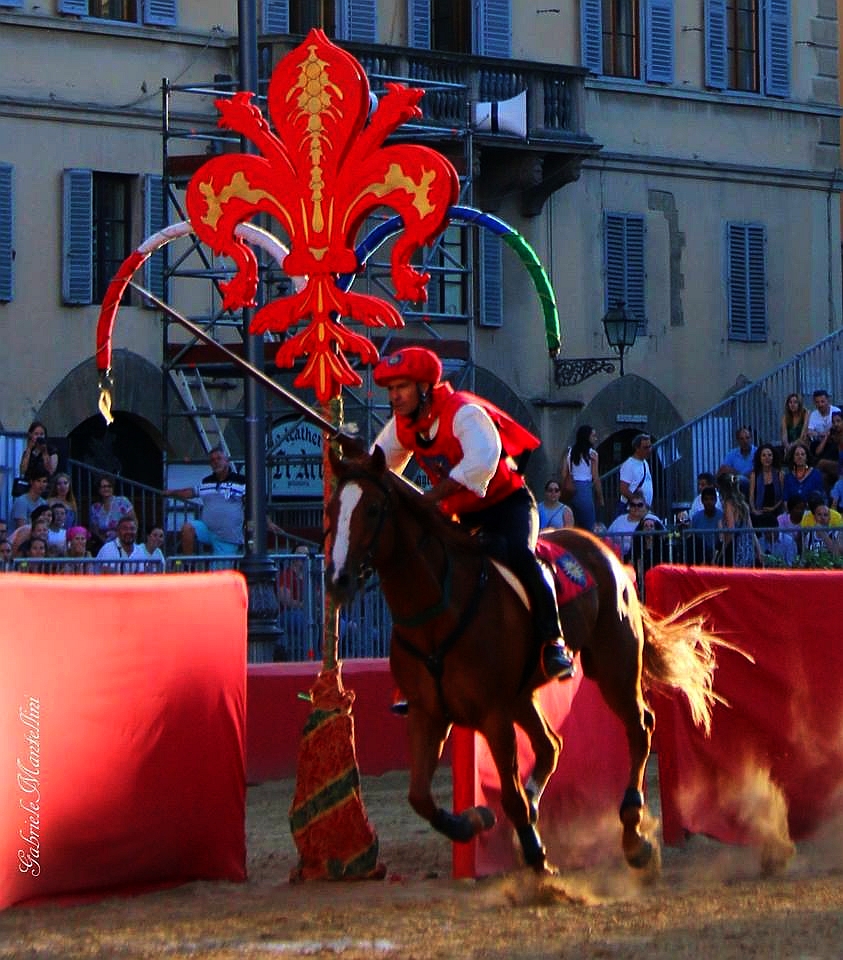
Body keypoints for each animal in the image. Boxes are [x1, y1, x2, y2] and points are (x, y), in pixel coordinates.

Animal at [324, 446, 720, 872]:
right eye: (332, 508)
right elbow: (420, 797)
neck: (437, 610)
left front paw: (538, 858)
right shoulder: (426, 713)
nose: (338, 580)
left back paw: (633, 834)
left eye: (373, 509)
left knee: (639, 726)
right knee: (551, 745)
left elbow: (509, 794)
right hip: (524, 695)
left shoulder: (493, 714)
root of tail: (606, 553)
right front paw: (475, 821)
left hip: (614, 666)